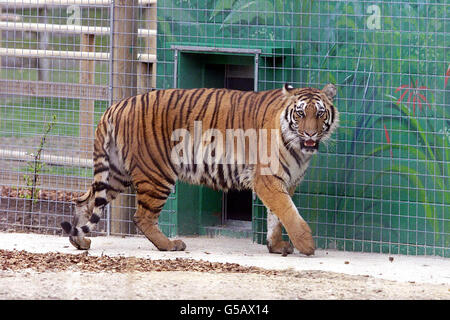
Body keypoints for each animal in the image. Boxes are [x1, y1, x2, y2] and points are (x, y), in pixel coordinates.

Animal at [62, 83, 338, 258]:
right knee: (142, 217)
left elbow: (277, 216)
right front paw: (306, 244)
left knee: (84, 201)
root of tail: (115, 106)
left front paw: (277, 245)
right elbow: (287, 211)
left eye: (319, 114)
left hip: (116, 173)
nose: (310, 134)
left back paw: (80, 241)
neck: (299, 148)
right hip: (157, 173)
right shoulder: (268, 178)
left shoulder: (286, 181)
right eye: (300, 114)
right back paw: (170, 245)